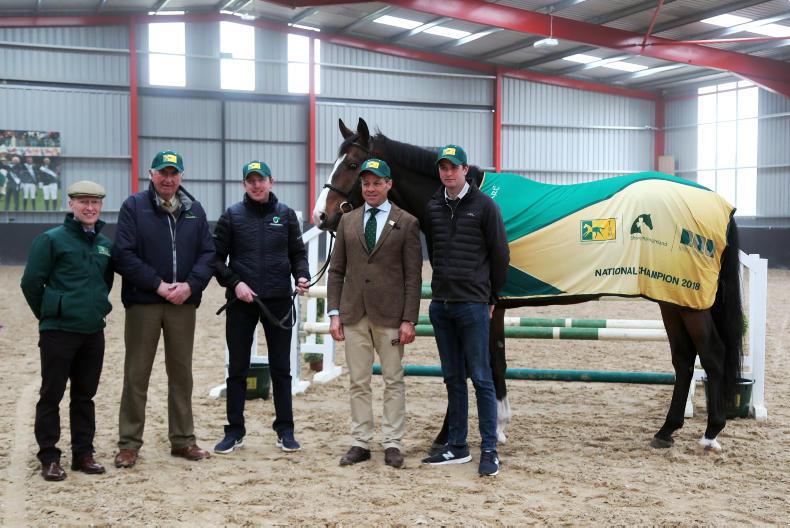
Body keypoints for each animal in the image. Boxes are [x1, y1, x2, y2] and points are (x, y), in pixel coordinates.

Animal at [313, 117, 744, 453]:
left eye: (354, 164)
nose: (321, 216)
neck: (465, 203)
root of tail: (720, 204)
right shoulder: (494, 309)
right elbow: (495, 362)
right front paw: (499, 427)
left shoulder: (476, 307)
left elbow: (471, 366)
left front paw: (448, 436)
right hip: (671, 299)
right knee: (684, 359)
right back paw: (666, 431)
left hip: (690, 302)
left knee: (713, 354)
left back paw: (710, 435)